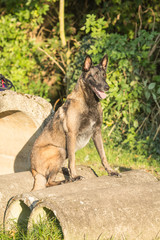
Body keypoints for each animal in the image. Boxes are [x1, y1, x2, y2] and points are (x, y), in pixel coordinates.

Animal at [30, 54, 119, 191]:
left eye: (104, 75)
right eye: (94, 75)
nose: (106, 87)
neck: (89, 103)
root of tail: (33, 168)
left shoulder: (97, 133)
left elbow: (103, 156)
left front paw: (110, 171)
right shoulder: (72, 134)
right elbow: (72, 159)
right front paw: (75, 176)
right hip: (60, 150)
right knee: (48, 182)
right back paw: (64, 180)